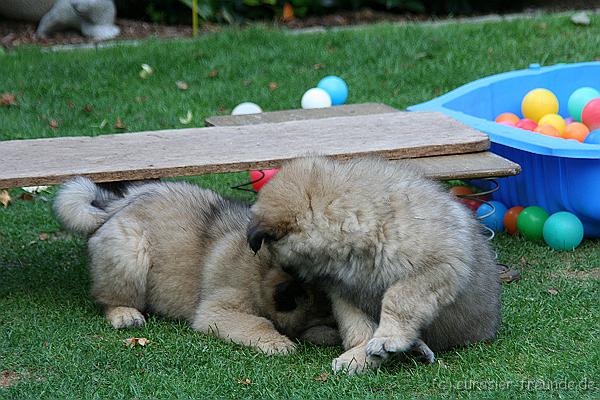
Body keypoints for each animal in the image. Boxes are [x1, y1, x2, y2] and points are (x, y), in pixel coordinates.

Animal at [54, 177, 340, 354]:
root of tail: (114, 208)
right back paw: (125, 314)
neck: (263, 268)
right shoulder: (218, 310)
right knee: (109, 297)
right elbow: (258, 323)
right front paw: (277, 342)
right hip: (130, 251)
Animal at [246, 155, 500, 372]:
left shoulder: (438, 266)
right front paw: (359, 358)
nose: (288, 274)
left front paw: (387, 339)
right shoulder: (346, 291)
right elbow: (356, 326)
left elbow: (399, 299)